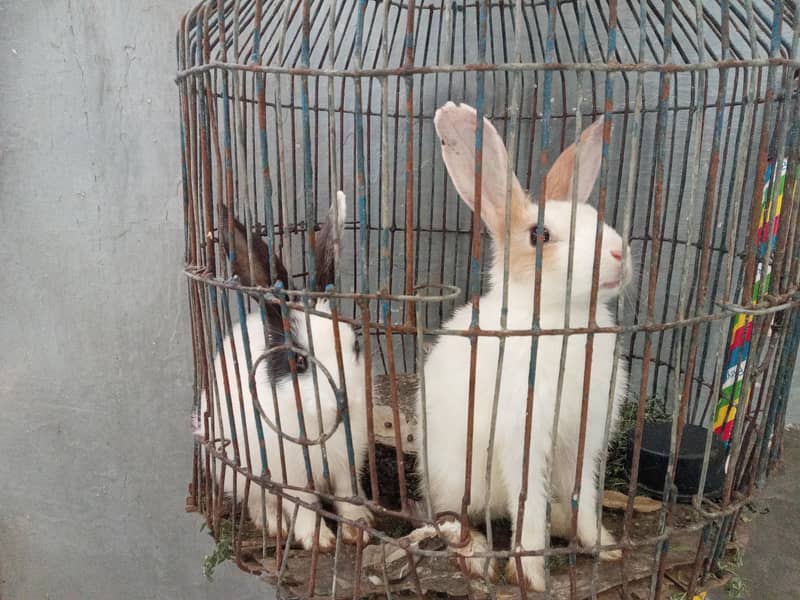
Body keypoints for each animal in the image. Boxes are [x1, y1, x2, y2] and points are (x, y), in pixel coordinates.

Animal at [195, 191, 373, 551]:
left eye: (354, 346)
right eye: (298, 362)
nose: (346, 402)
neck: (322, 426)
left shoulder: (348, 466)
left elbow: (349, 496)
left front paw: (359, 528)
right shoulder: (290, 475)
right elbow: (302, 507)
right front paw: (319, 541)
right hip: (238, 467)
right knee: (256, 499)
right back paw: (273, 525)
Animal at [416, 102, 630, 590]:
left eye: (597, 219)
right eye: (540, 236)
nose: (618, 253)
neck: (559, 322)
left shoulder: (583, 442)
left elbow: (584, 496)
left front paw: (603, 546)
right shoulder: (524, 439)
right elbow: (527, 508)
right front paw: (531, 575)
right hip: (455, 477)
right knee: (449, 519)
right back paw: (478, 555)